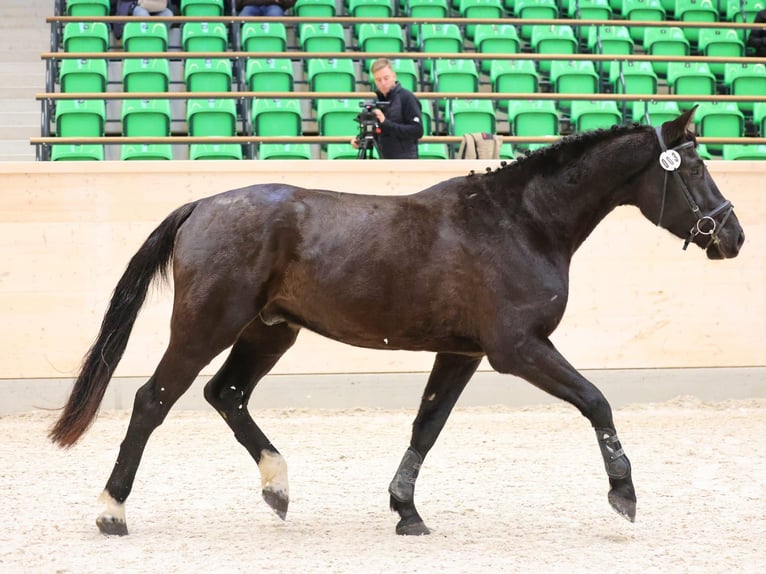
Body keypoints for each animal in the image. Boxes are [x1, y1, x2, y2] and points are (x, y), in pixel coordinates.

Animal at [49, 108, 744, 537]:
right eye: (697, 169)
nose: (733, 236)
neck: (521, 222)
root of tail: (201, 205)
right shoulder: (517, 349)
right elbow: (596, 400)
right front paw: (624, 495)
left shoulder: (463, 353)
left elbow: (427, 426)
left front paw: (405, 511)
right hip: (206, 326)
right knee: (153, 400)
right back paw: (112, 511)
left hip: (270, 329)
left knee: (228, 394)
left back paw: (278, 488)